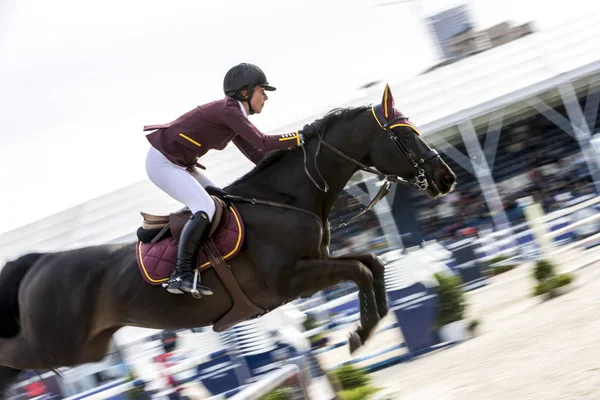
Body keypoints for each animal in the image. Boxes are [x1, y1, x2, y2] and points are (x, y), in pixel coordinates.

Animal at [0, 84, 454, 394]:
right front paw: (361, 332)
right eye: (405, 135)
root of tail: (38, 261)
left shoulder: (314, 265)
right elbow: (359, 270)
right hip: (60, 345)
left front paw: (371, 321)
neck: (286, 199)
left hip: (86, 346)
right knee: (13, 356)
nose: (446, 178)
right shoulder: (292, 280)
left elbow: (370, 264)